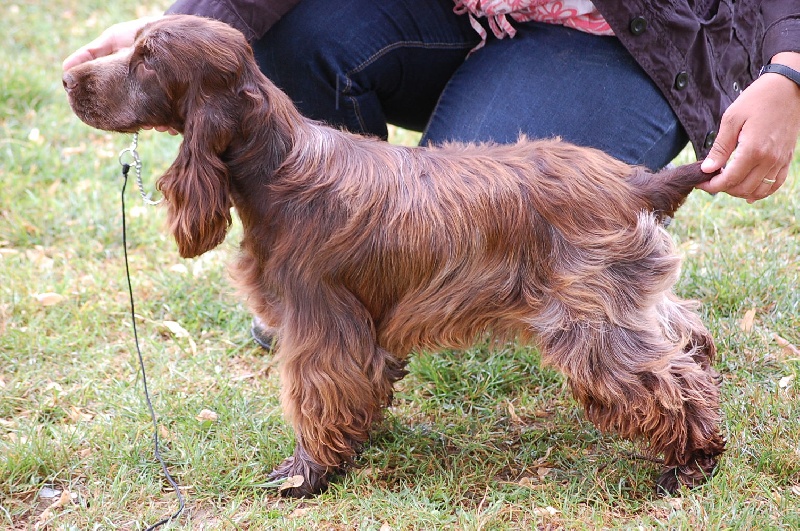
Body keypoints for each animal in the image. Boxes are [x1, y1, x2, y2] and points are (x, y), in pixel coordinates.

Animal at [63, 14, 725, 497]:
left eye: (147, 58)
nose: (70, 80)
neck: (276, 167)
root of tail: (635, 184)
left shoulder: (317, 323)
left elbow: (316, 397)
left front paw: (304, 474)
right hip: (633, 296)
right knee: (689, 338)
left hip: (588, 317)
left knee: (668, 384)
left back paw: (691, 464)